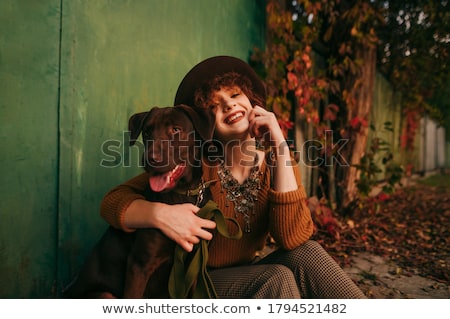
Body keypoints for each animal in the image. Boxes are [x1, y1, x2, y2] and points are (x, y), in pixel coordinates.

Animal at [62, 105, 214, 300]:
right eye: (147, 131)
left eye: (176, 130)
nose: (150, 159)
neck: (183, 193)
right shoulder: (140, 264)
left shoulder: (193, 265)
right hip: (104, 294)